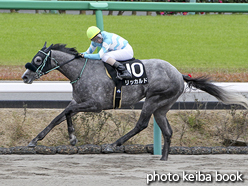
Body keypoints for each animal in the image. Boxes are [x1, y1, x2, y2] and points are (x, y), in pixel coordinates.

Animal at [21, 42, 248, 161]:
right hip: (162, 107)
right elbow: (58, 117)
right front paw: (34, 140)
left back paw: (113, 144)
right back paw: (164, 158)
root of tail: (179, 73)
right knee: (167, 130)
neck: (82, 71)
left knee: (142, 124)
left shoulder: (95, 105)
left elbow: (66, 115)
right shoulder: (77, 101)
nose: (24, 77)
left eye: (38, 60)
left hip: (153, 99)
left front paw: (73, 138)